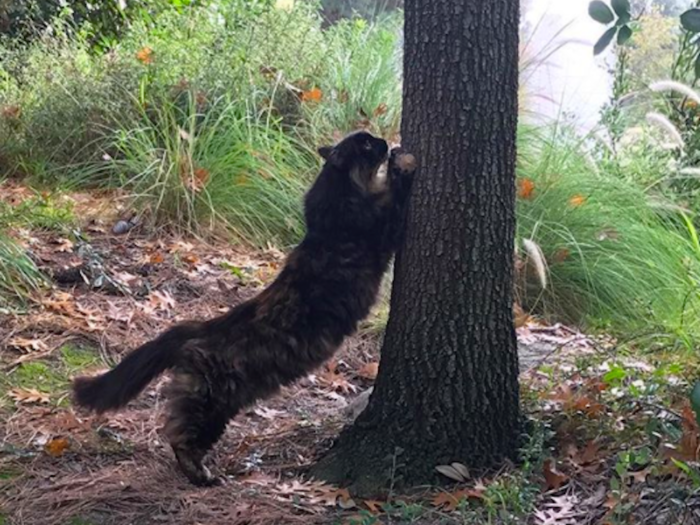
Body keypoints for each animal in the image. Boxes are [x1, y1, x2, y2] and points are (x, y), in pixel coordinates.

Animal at [72, 130, 416, 484]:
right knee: (181, 435)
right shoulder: (380, 229)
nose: (382, 141)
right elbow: (397, 196)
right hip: (213, 401)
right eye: (366, 144)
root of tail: (198, 327)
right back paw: (202, 475)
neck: (336, 202)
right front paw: (403, 162)